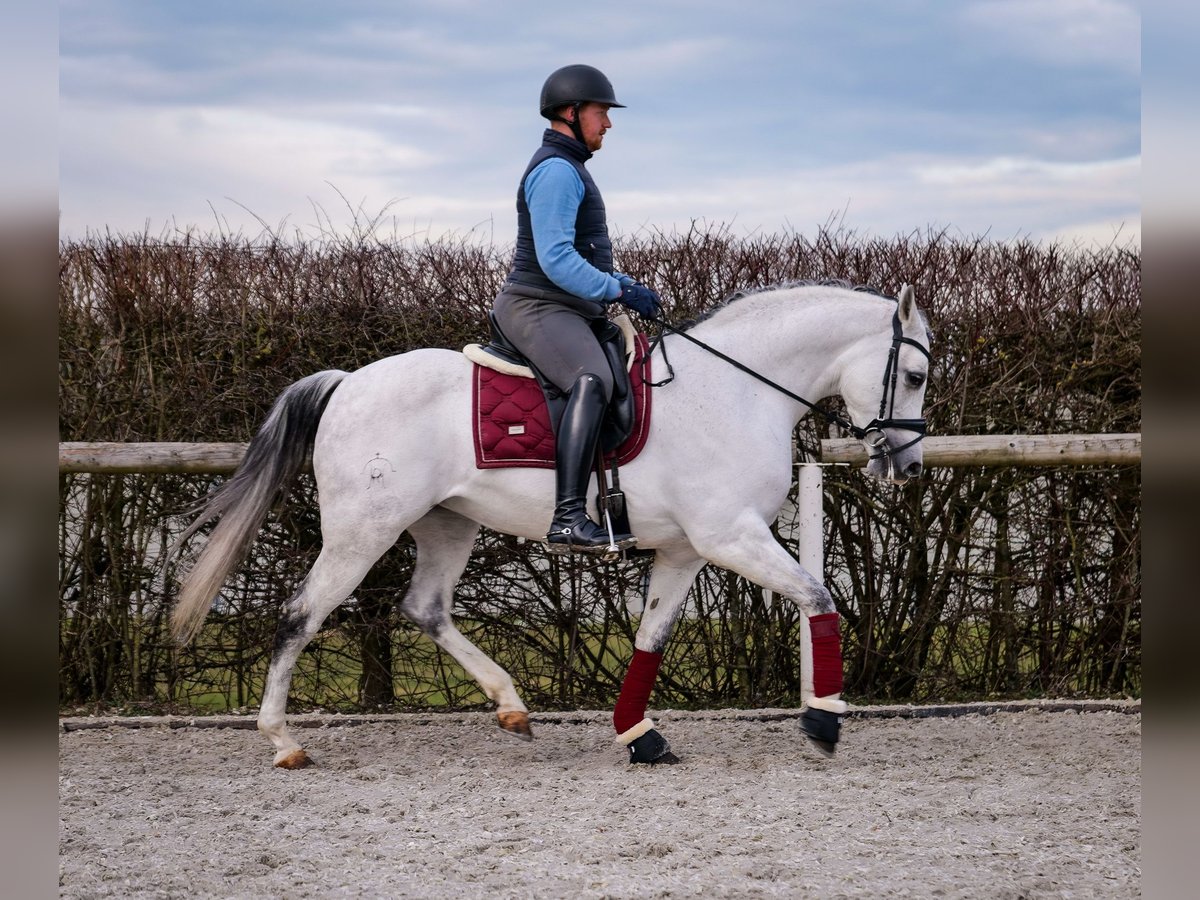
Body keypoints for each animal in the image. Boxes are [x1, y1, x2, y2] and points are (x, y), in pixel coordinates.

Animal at [174, 282, 931, 768]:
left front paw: (638, 736)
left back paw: (510, 704)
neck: (736, 391)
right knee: (300, 614)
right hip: (363, 533)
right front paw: (824, 719)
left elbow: (651, 639)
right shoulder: (731, 536)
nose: (908, 465)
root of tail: (347, 383)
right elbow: (818, 596)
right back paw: (283, 741)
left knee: (425, 607)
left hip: (447, 526)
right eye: (918, 376)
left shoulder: (686, 551)